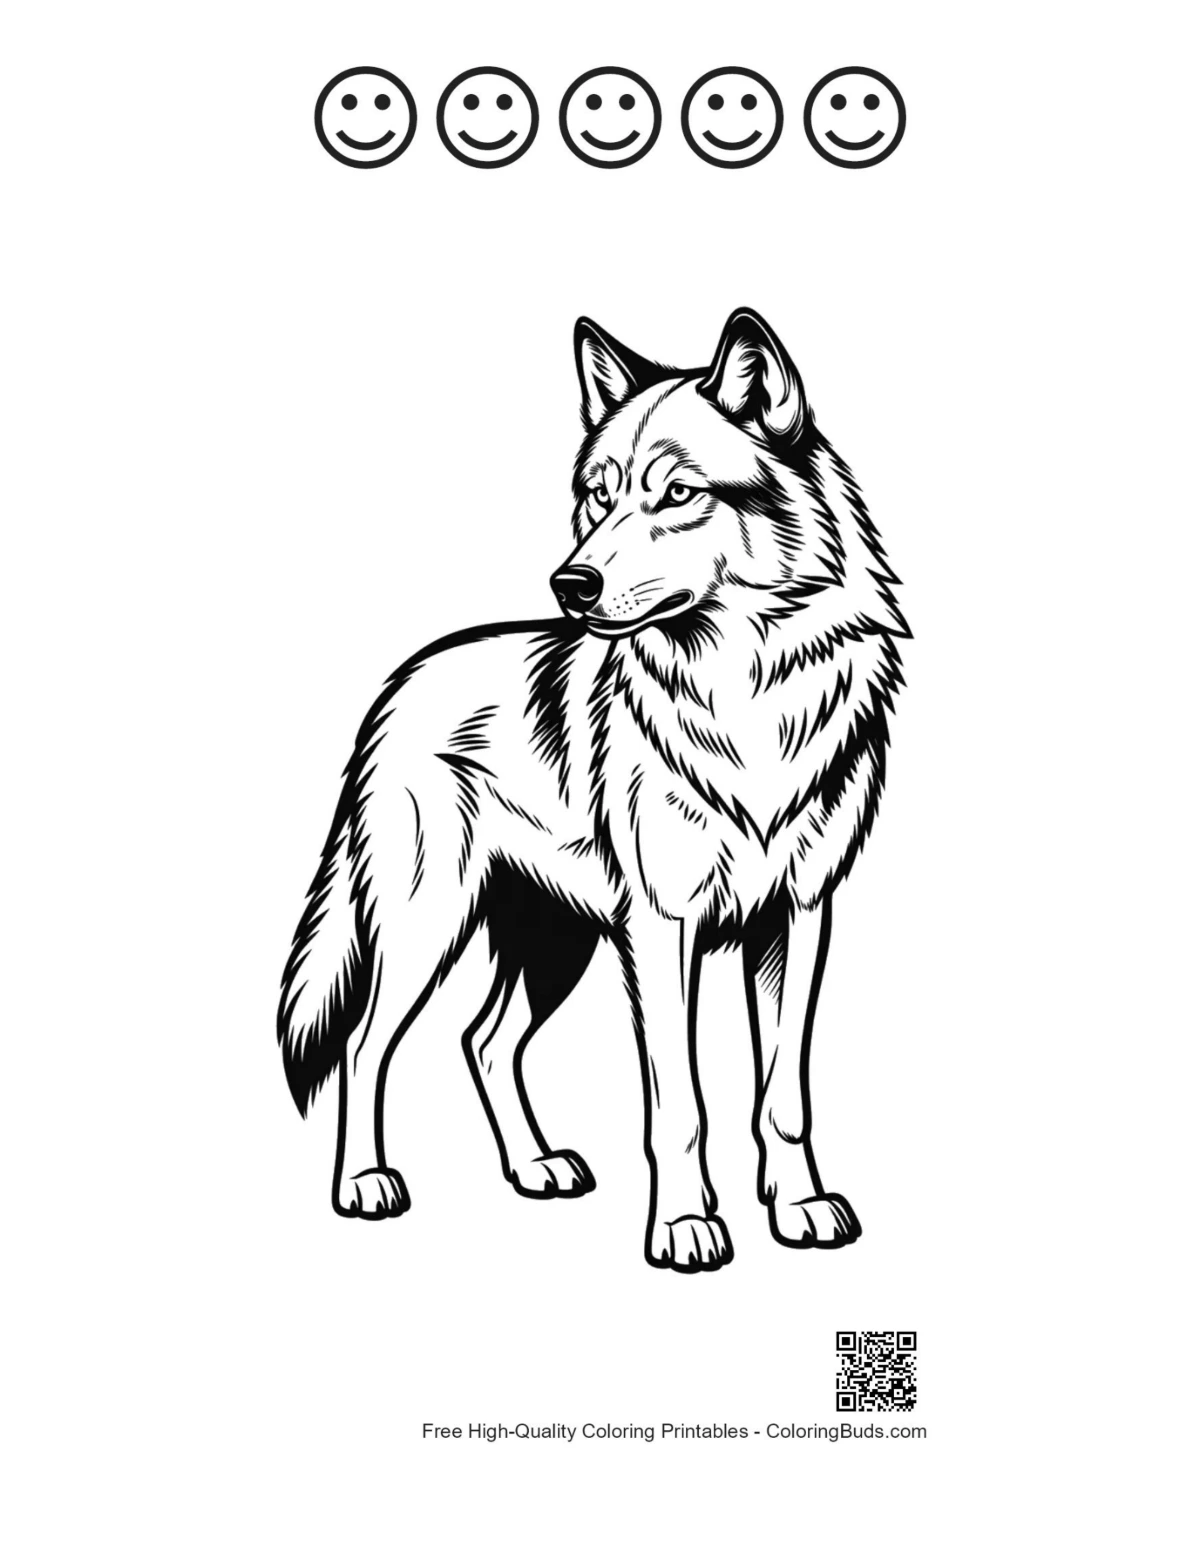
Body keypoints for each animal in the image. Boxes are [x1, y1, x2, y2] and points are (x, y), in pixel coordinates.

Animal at [278, 308, 909, 1272]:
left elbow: (781, 1097)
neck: (748, 695)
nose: (570, 583)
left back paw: (535, 1166)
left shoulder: (799, 917)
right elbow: (680, 1105)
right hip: (432, 928)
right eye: (597, 497)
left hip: (555, 942)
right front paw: (685, 1227)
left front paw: (798, 1208)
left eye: (677, 494)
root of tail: (397, 686)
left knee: (483, 1041)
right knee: (364, 1045)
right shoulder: (663, 926)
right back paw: (365, 1186)